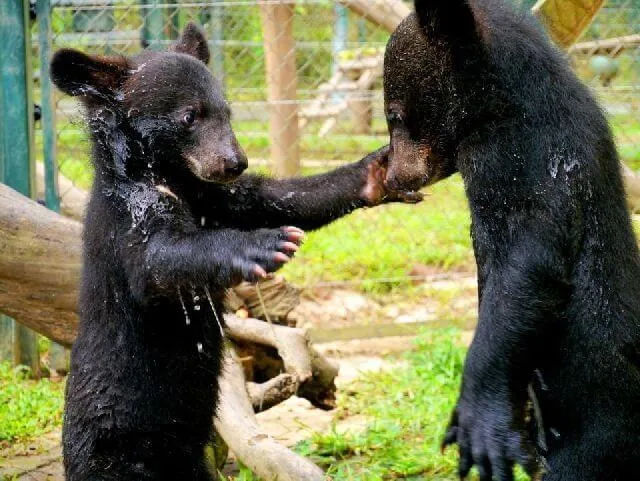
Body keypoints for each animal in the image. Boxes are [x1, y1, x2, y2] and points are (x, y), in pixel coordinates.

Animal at [50, 23, 414, 481]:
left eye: (227, 112)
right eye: (189, 116)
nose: (234, 161)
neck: (171, 176)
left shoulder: (211, 196)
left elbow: (268, 198)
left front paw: (377, 171)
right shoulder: (126, 214)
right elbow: (158, 258)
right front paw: (270, 244)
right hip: (119, 447)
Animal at [381, 1, 640, 480]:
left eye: (395, 116)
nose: (391, 177)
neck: (497, 108)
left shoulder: (517, 160)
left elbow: (527, 269)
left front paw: (482, 428)